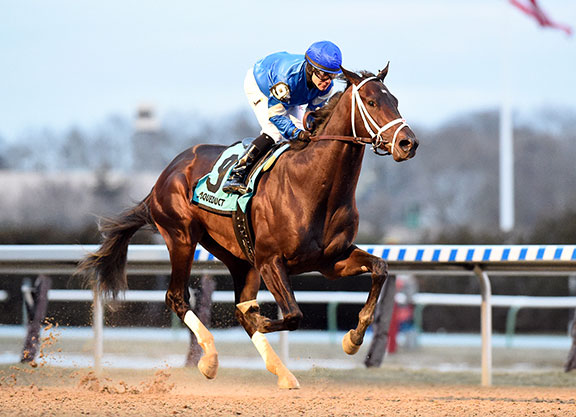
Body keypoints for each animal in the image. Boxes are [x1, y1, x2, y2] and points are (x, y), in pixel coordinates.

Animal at [76, 64, 419, 389]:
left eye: (395, 100)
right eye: (372, 102)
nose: (408, 143)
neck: (312, 185)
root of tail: (167, 171)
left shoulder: (331, 260)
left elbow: (380, 268)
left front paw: (353, 338)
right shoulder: (271, 260)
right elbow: (292, 315)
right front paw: (265, 322)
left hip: (239, 257)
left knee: (240, 307)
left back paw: (283, 374)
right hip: (181, 237)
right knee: (178, 297)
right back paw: (210, 360)